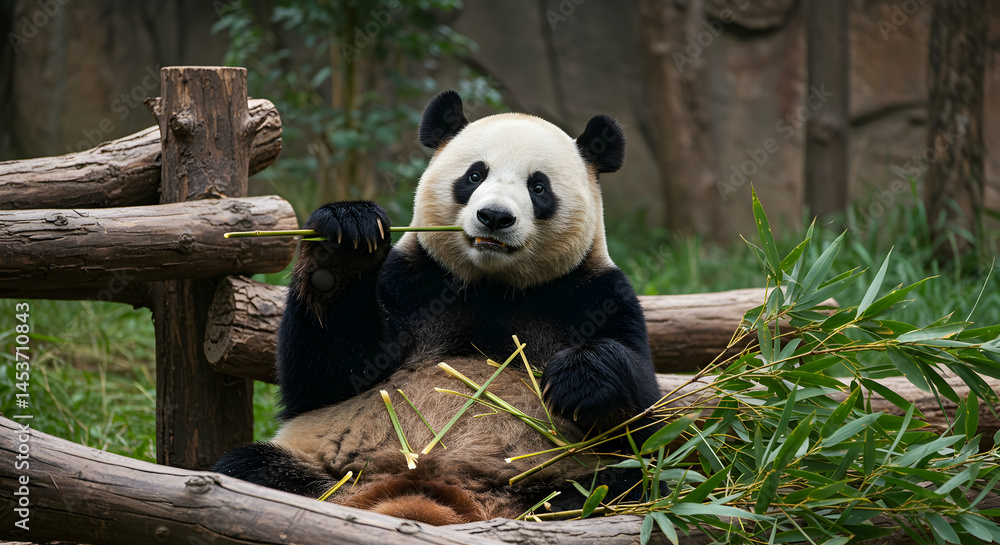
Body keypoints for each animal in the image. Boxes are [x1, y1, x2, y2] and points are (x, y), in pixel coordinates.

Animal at [212, 90, 663, 525]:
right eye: (475, 175)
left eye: (538, 187)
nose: (494, 217)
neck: (492, 287)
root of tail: (440, 495)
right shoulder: (412, 282)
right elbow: (327, 377)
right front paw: (343, 242)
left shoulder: (596, 295)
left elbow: (643, 419)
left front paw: (581, 374)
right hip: (326, 466)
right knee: (250, 467)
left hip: (561, 475)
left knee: (627, 483)